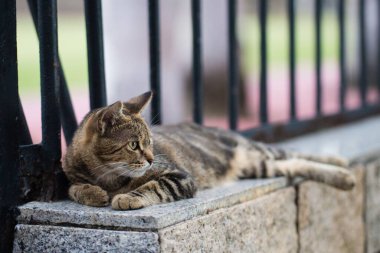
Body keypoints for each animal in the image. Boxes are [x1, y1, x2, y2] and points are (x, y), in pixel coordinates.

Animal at [63, 91, 356, 210]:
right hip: (259, 165)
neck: (109, 177)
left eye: (150, 143)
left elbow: (152, 186)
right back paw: (342, 176)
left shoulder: (180, 177)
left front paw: (127, 197)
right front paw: (91, 193)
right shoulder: (70, 173)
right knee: (295, 163)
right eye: (134, 145)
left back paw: (341, 166)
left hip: (258, 152)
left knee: (296, 154)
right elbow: (72, 188)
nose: (150, 159)